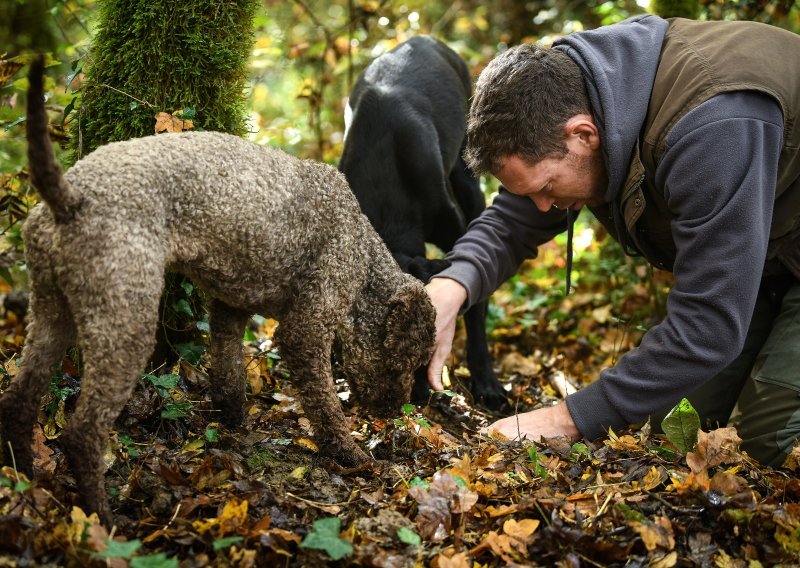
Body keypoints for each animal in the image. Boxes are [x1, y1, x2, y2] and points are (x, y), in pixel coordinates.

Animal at [0, 58, 434, 524]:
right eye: (407, 361)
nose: (394, 412)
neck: (364, 250)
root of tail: (71, 197)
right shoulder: (307, 328)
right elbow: (325, 407)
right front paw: (353, 456)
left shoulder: (229, 309)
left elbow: (228, 376)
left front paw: (236, 424)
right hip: (125, 323)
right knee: (82, 432)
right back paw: (104, 517)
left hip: (51, 313)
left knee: (19, 401)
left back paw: (26, 480)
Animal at [340, 35, 506, 410]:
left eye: (414, 341)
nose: (400, 402)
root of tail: (424, 39)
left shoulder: (456, 234)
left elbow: (474, 303)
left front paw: (486, 382)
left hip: (466, 172)